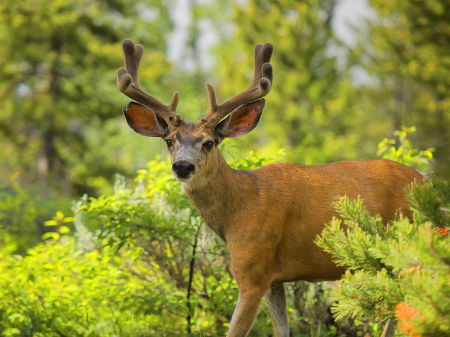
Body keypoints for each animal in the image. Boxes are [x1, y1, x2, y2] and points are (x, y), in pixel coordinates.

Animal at [116, 39, 422, 336]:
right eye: (169, 140)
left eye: (209, 142)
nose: (182, 166)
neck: (238, 209)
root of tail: (427, 180)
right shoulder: (275, 277)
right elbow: (281, 329)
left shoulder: (253, 269)